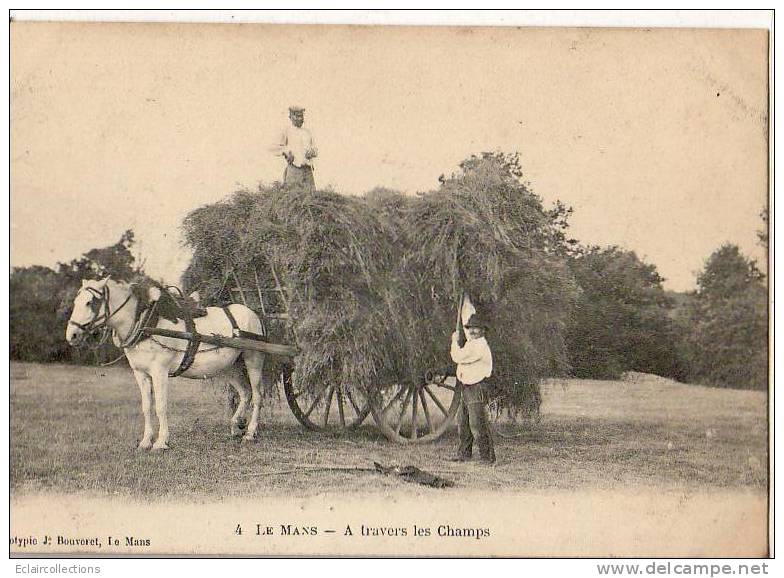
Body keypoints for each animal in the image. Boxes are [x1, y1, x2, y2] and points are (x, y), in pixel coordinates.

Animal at [66, 276, 266, 448]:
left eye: (89, 302)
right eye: (76, 302)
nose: (72, 335)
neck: (145, 324)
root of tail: (254, 314)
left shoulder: (159, 371)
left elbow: (161, 406)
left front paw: (161, 441)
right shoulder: (140, 373)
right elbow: (147, 407)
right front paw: (146, 441)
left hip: (253, 359)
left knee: (257, 395)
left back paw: (250, 433)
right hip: (229, 367)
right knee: (245, 393)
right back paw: (236, 426)